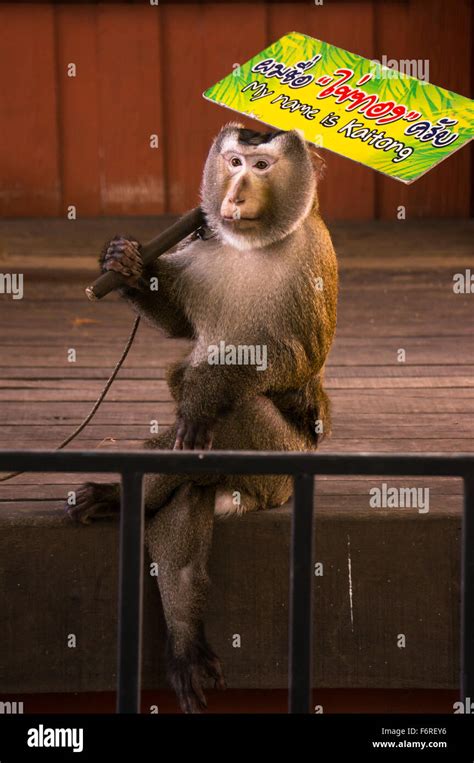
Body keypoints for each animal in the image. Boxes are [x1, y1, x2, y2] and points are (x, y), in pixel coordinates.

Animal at [68, 122, 338, 712]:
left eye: (260, 167)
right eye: (233, 161)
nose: (233, 196)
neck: (252, 245)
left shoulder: (310, 260)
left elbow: (293, 360)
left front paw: (205, 390)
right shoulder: (203, 244)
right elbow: (177, 326)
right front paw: (125, 263)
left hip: (285, 468)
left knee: (229, 413)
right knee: (189, 485)